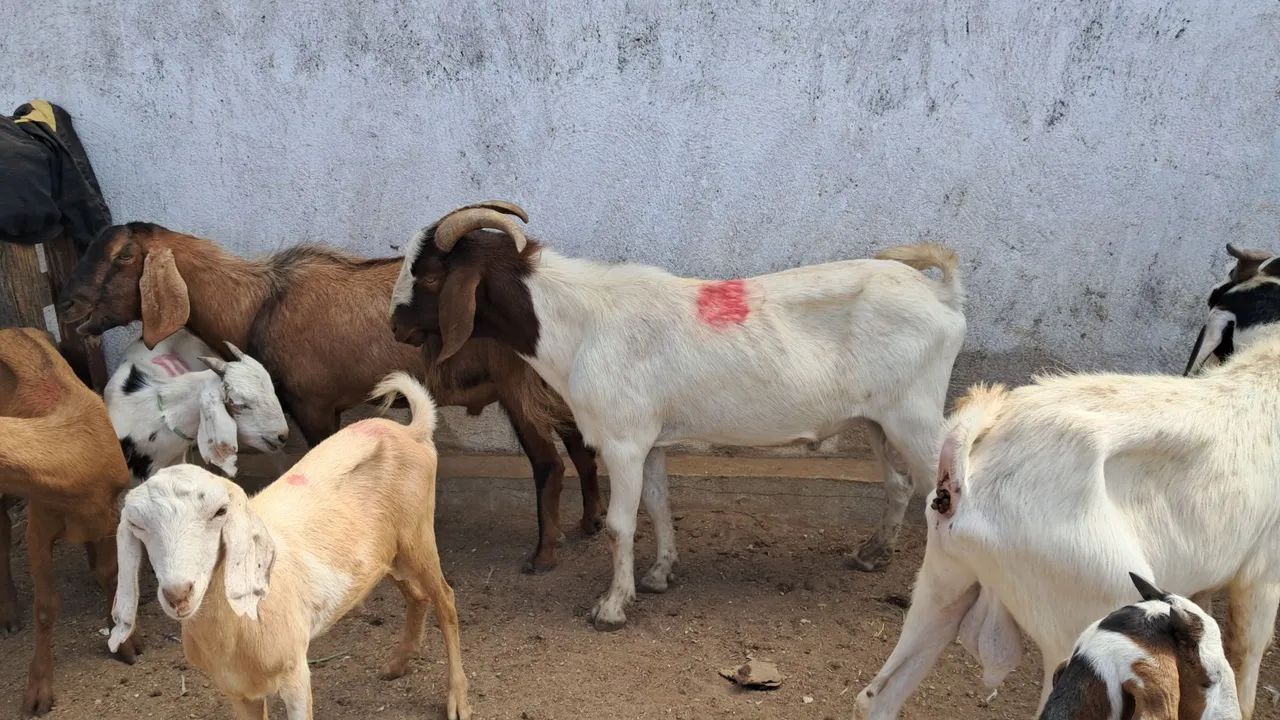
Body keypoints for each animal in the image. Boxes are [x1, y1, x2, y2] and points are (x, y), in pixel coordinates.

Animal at [0, 328, 141, 715]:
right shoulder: (38, 524)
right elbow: (46, 607)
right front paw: (37, 692)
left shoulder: (109, 512)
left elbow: (111, 575)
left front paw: (126, 642)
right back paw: (9, 615)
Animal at [109, 372, 471, 719]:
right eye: (137, 525)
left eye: (220, 511)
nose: (178, 593)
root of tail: (411, 431)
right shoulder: (238, 692)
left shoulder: (295, 672)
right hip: (387, 553)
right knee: (418, 596)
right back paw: (397, 665)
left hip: (418, 534)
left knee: (445, 599)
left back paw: (458, 699)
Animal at [389, 201, 966, 630]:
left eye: (433, 276)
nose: (395, 326)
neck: (579, 323)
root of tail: (943, 296)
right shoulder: (652, 441)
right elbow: (659, 507)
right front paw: (659, 576)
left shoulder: (622, 440)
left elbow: (620, 524)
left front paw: (611, 607)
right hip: (877, 419)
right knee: (898, 483)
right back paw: (871, 554)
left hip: (915, 414)